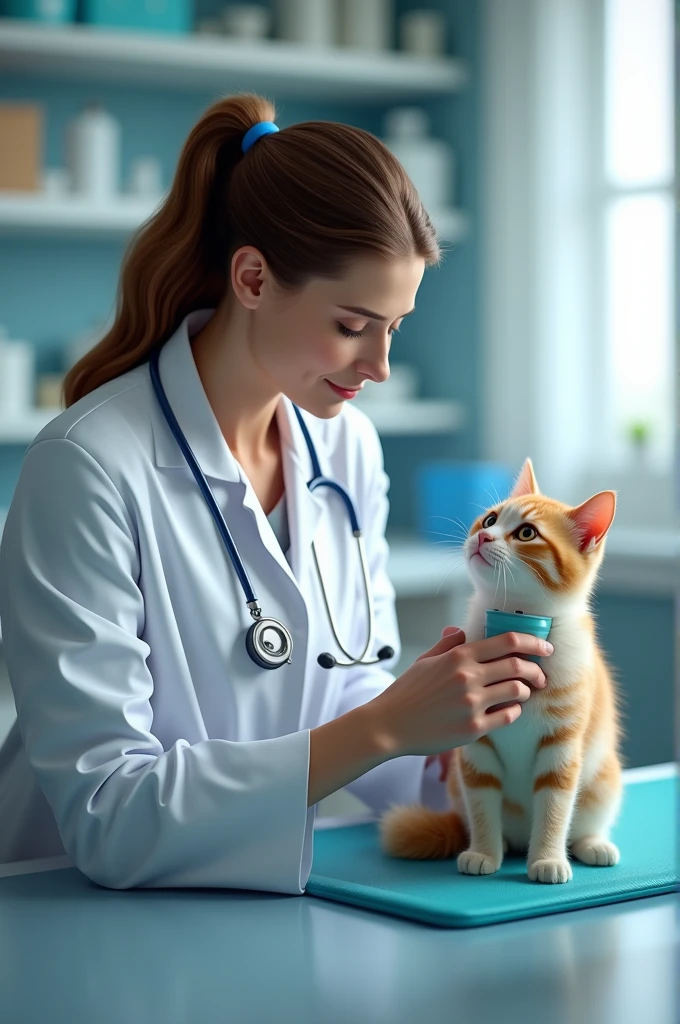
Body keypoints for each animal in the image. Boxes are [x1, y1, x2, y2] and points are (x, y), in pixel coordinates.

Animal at [378, 460, 622, 884]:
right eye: (490, 518)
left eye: (526, 533)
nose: (483, 535)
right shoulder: (475, 744)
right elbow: (481, 802)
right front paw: (484, 852)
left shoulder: (562, 746)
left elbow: (555, 806)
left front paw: (548, 858)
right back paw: (503, 845)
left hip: (605, 779)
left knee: (586, 816)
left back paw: (591, 843)